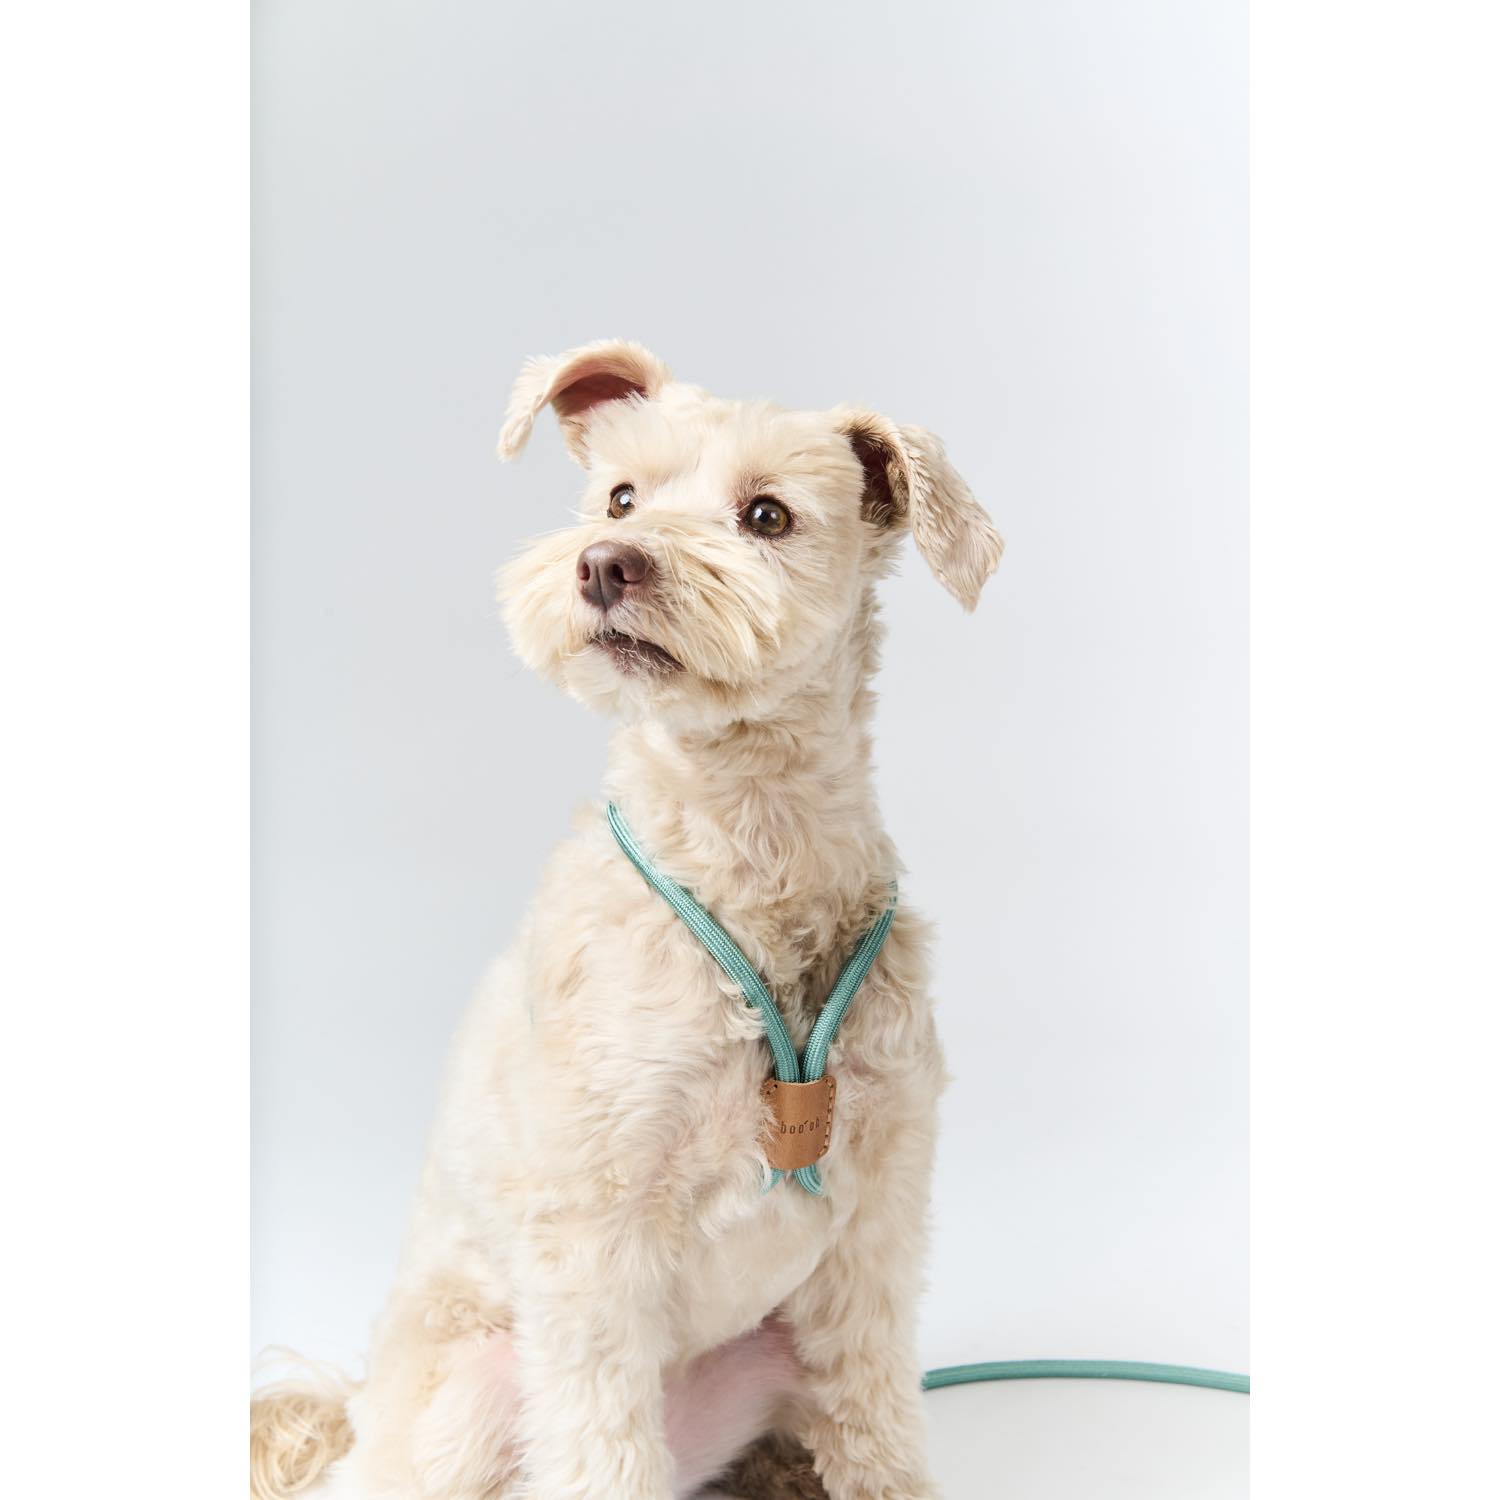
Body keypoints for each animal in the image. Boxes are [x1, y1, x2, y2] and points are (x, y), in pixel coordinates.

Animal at [252, 341, 1003, 1500]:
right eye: (619, 496)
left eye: (768, 514)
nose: (606, 563)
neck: (747, 839)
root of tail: (355, 1411)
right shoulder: (594, 1237)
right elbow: (602, 1443)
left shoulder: (877, 1228)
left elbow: (876, 1423)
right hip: (473, 1392)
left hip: (770, 1354)